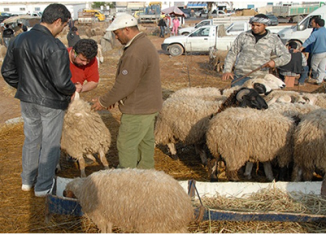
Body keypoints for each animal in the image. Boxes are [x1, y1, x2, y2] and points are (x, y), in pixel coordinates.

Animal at [63, 169, 194, 233]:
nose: (63, 193)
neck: (81, 188)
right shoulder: (107, 215)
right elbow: (109, 228)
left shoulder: (99, 216)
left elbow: (104, 229)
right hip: (169, 226)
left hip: (154, 225)